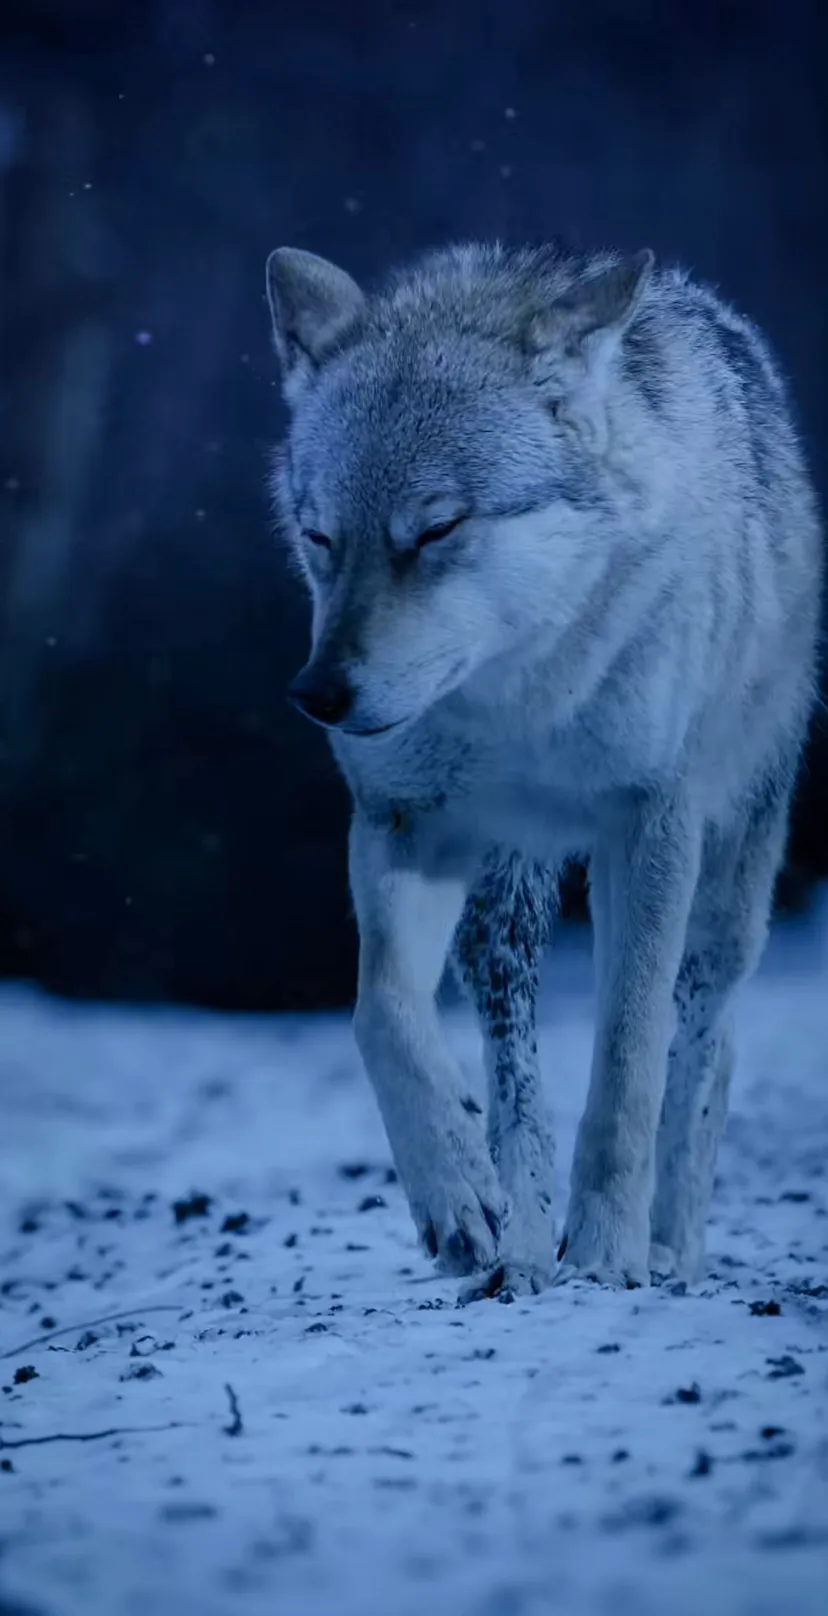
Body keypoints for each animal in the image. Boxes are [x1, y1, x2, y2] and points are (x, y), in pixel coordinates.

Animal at [265, 238, 822, 1300]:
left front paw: (608, 1253)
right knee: (510, 1061)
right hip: (504, 913)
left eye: (434, 530)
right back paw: (518, 1246)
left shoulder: (648, 821)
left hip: (729, 888)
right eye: (320, 537)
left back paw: (669, 1248)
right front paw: (458, 1199)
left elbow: (629, 1064)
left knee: (707, 1039)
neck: (517, 704)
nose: (317, 694)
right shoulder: (401, 821)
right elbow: (379, 1013)